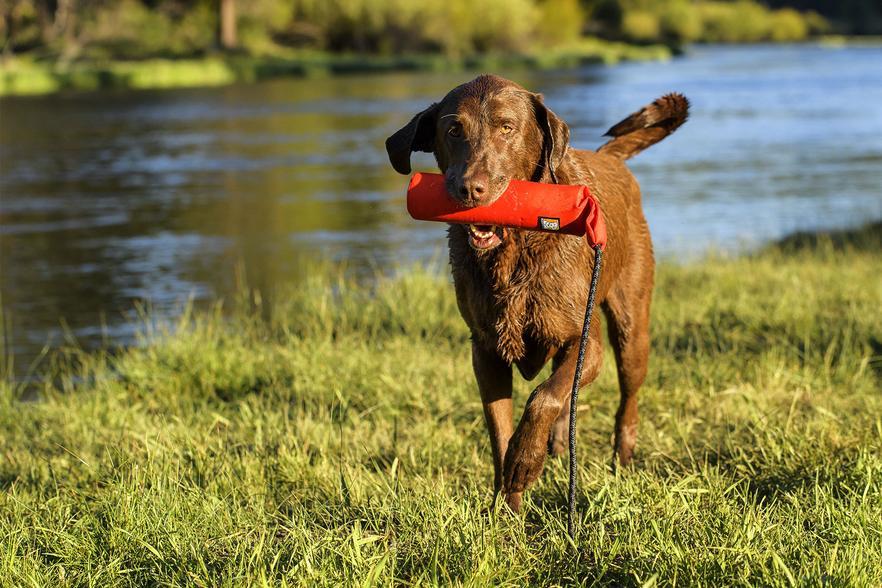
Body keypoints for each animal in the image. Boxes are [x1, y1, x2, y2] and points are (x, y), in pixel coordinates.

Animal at [384, 74, 688, 510]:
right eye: (453, 129)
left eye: (507, 128)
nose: (469, 189)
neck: (515, 251)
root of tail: (611, 159)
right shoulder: (486, 352)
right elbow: (500, 429)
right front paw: (507, 505)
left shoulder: (586, 342)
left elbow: (544, 396)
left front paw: (524, 462)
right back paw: (558, 443)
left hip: (632, 327)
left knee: (625, 396)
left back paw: (623, 456)